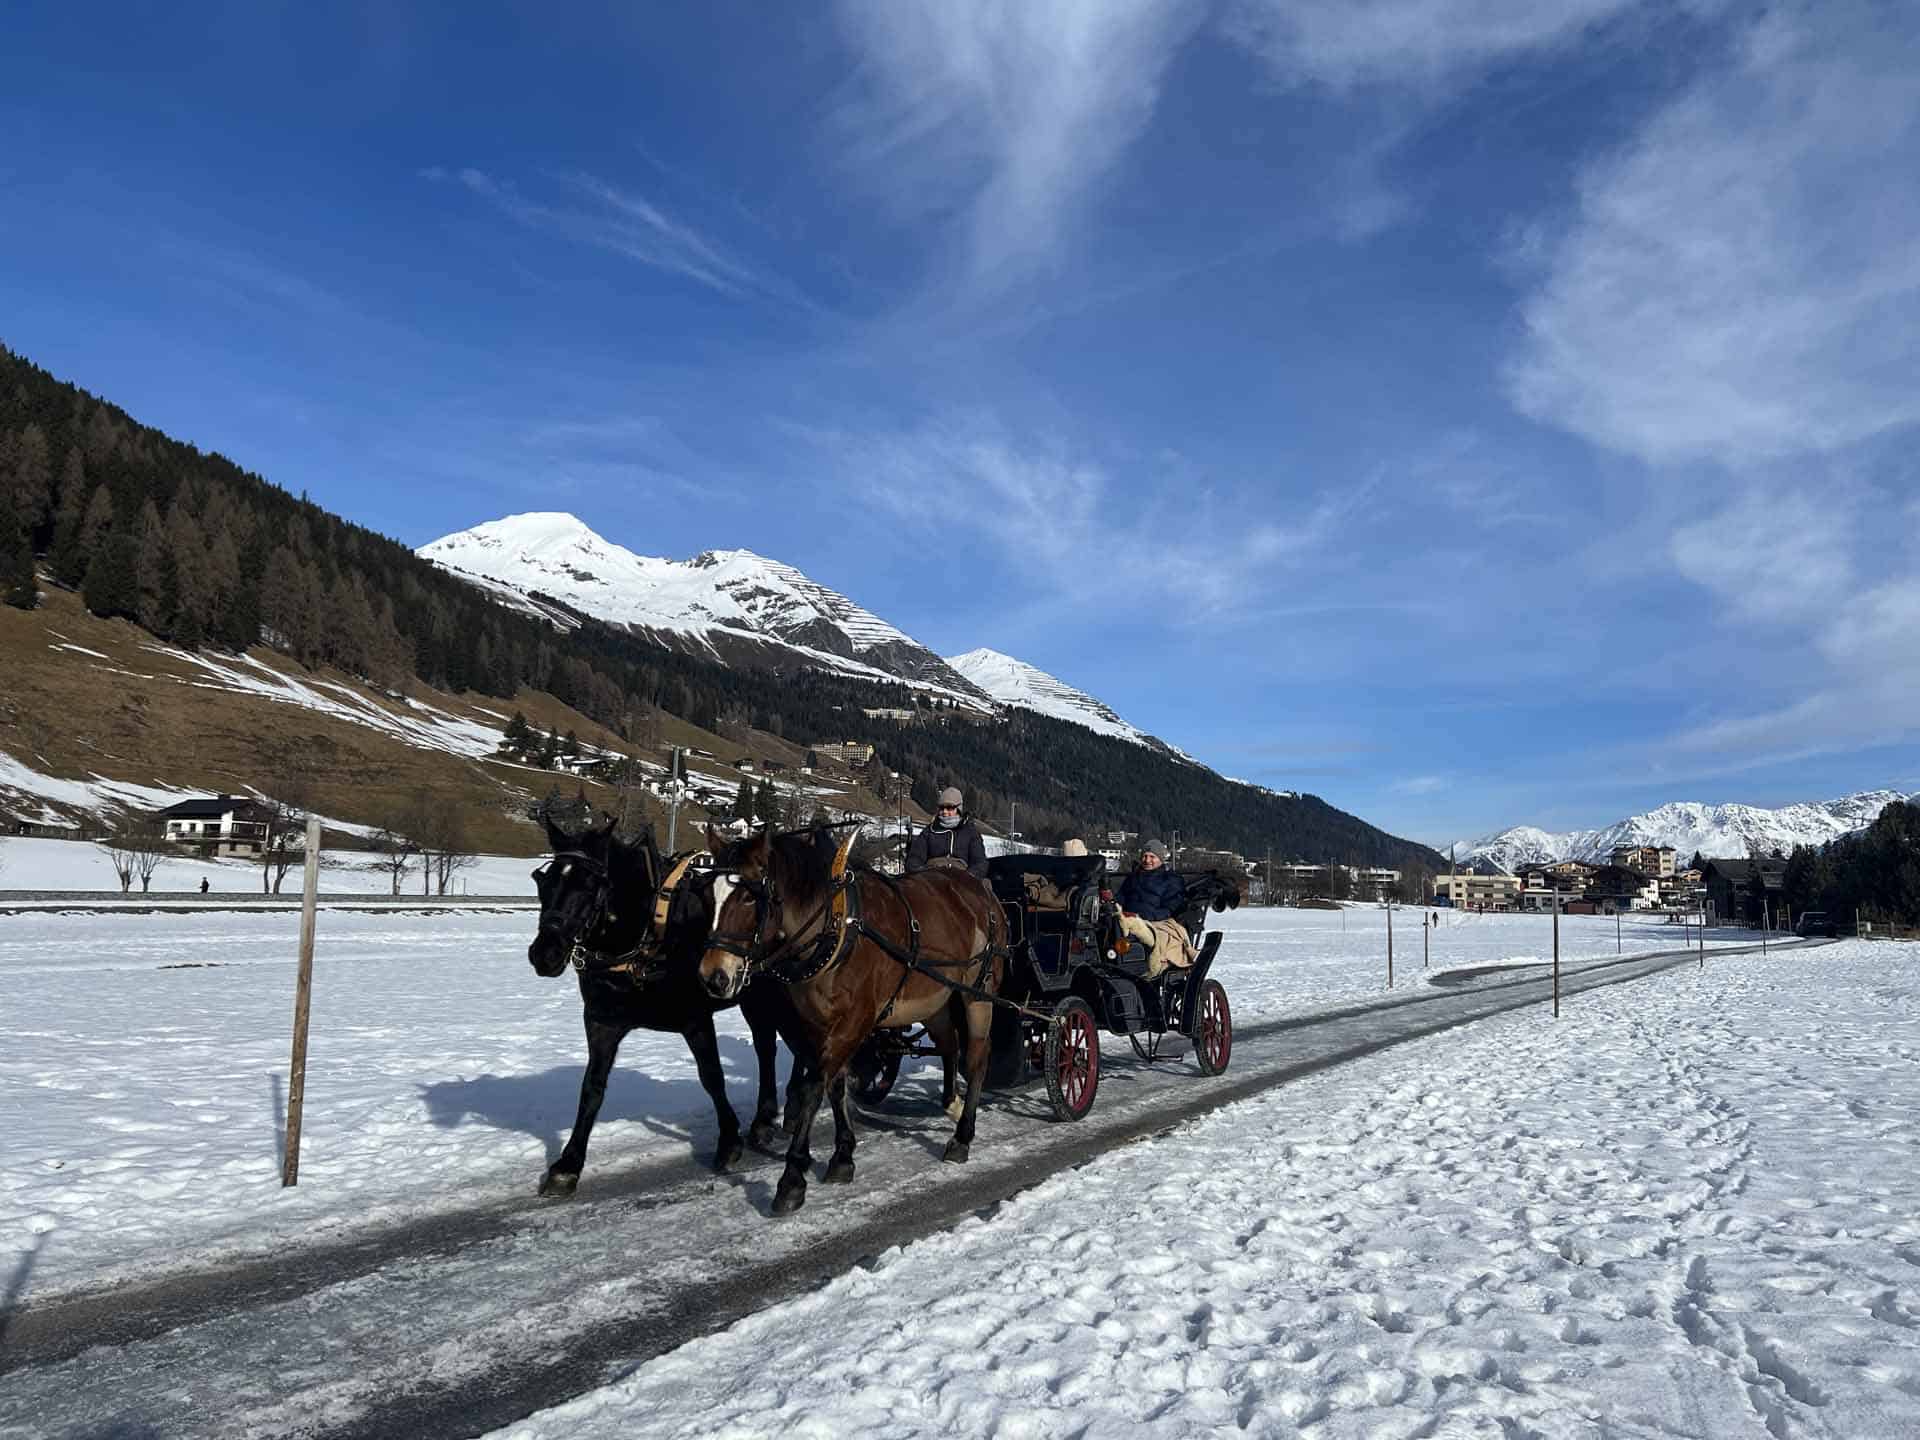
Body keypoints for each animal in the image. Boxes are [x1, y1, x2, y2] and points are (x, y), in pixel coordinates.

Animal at [526, 817, 787, 1198]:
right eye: (542, 880)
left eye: (590, 885)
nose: (544, 953)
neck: (649, 934)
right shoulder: (602, 1022)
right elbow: (592, 1088)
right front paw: (568, 1164)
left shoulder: (695, 1019)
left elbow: (712, 1077)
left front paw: (728, 1140)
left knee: (774, 1047)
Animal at [702, 821, 1006, 1221]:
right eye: (708, 895)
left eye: (750, 898)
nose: (713, 975)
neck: (835, 927)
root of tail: (980, 890)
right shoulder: (817, 1023)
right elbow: (836, 1085)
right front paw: (842, 1155)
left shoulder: (856, 1020)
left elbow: (814, 1086)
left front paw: (792, 1179)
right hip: (936, 1000)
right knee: (949, 1047)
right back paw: (951, 1104)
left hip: (978, 993)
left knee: (977, 1058)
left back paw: (963, 1135)